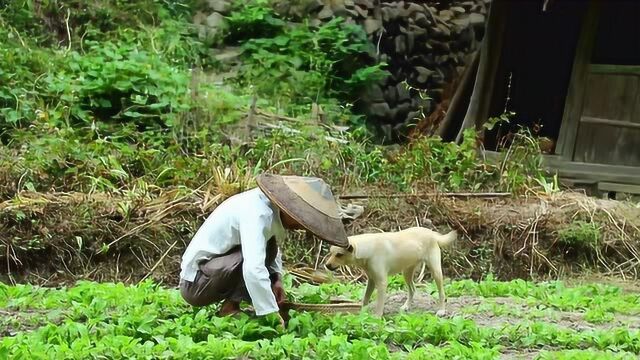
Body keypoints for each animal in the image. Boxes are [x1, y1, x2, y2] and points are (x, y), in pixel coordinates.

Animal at [324, 226, 456, 316]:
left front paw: (376, 318)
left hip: (435, 271)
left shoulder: (382, 283)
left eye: (339, 255)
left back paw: (441, 310)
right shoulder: (371, 281)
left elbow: (379, 304)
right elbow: (365, 299)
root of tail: (432, 233)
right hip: (406, 272)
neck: (367, 248)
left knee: (441, 293)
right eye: (331, 252)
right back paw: (406, 306)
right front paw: (362, 315)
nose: (327, 265)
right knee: (413, 289)